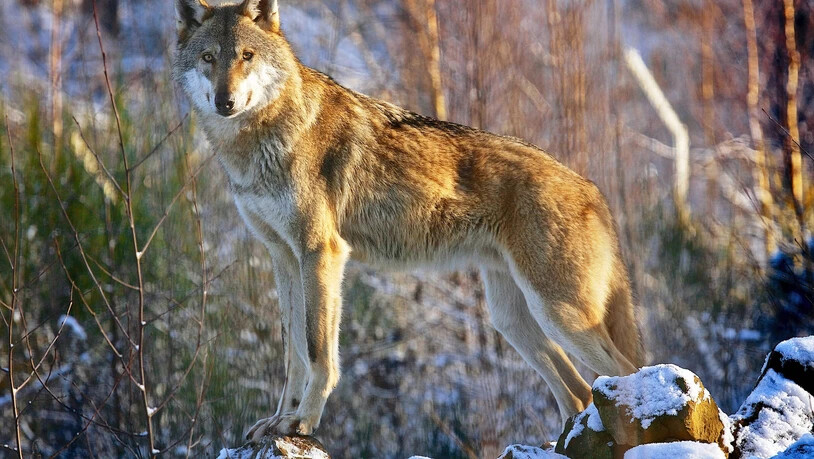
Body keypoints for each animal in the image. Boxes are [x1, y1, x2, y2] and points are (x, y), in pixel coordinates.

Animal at [173, 0, 643, 440]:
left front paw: (302, 422)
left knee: (626, 371)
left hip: (558, 314)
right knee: (579, 392)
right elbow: (294, 354)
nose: (225, 102)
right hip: (514, 321)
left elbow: (317, 351)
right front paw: (279, 420)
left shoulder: (321, 253)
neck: (261, 141)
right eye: (209, 58)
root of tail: (594, 190)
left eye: (247, 56)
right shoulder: (283, 257)